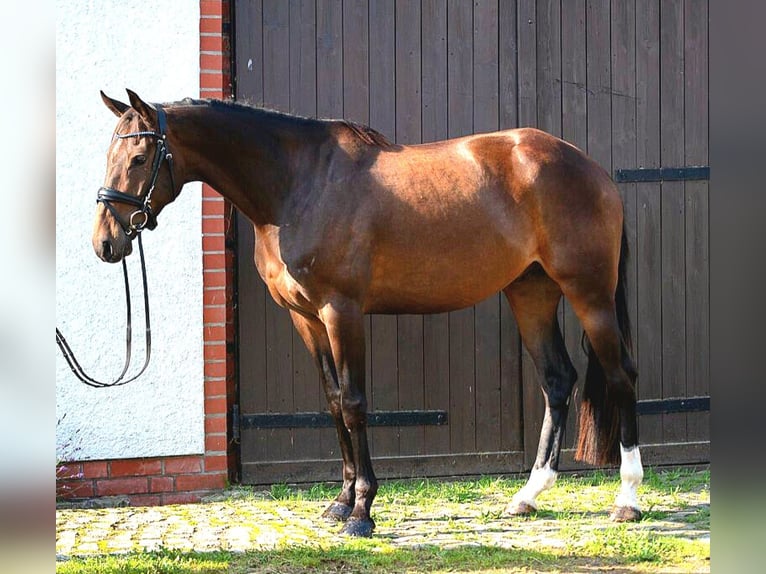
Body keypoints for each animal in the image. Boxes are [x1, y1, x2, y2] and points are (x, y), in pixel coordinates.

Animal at [93, 89, 644, 537]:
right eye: (110, 154)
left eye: (139, 156)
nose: (105, 243)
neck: (299, 185)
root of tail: (591, 169)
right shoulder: (306, 317)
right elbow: (334, 401)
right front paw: (339, 503)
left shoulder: (342, 311)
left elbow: (356, 402)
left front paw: (361, 511)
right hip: (530, 292)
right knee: (557, 379)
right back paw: (528, 496)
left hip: (589, 294)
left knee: (621, 376)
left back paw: (627, 499)